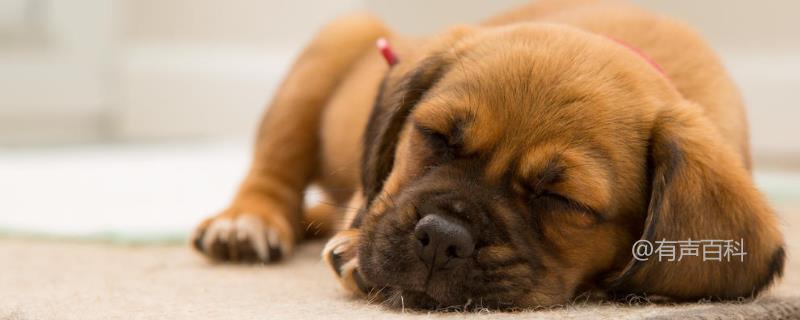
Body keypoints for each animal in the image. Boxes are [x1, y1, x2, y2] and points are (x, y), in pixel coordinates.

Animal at [191, 0, 784, 308]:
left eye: (562, 200)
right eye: (435, 137)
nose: (441, 238)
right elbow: (372, 197)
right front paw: (357, 245)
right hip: (331, 49)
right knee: (274, 172)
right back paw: (247, 221)